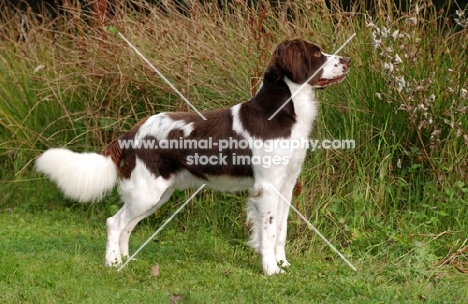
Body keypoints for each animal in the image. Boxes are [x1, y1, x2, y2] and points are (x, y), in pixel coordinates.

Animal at [36, 38, 350, 276]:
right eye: (317, 54)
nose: (347, 59)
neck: (281, 112)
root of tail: (132, 132)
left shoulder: (286, 184)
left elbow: (281, 230)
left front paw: (282, 264)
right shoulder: (267, 187)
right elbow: (270, 231)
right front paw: (271, 270)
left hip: (156, 194)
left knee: (127, 225)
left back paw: (127, 260)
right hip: (148, 192)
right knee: (114, 222)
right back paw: (112, 263)